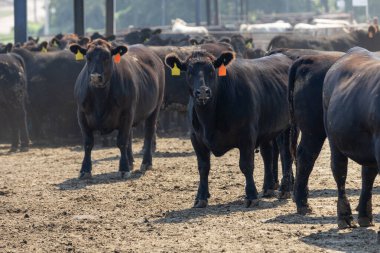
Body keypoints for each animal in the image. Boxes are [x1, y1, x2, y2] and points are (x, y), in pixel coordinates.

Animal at [70, 38, 165, 179]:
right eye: (88, 57)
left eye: (107, 57)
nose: (95, 77)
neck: (100, 97)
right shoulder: (81, 115)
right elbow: (88, 143)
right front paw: (85, 170)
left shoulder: (126, 112)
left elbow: (121, 141)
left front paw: (124, 169)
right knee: (130, 135)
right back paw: (130, 161)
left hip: (155, 108)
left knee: (149, 133)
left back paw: (146, 163)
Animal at [166, 50, 294, 207]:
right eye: (189, 72)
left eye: (212, 70)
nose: (202, 92)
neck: (209, 120)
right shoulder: (196, 139)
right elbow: (203, 167)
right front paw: (201, 197)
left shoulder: (247, 136)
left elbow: (246, 165)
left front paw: (251, 196)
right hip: (267, 128)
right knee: (267, 154)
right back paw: (268, 188)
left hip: (288, 126)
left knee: (286, 153)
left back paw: (285, 189)